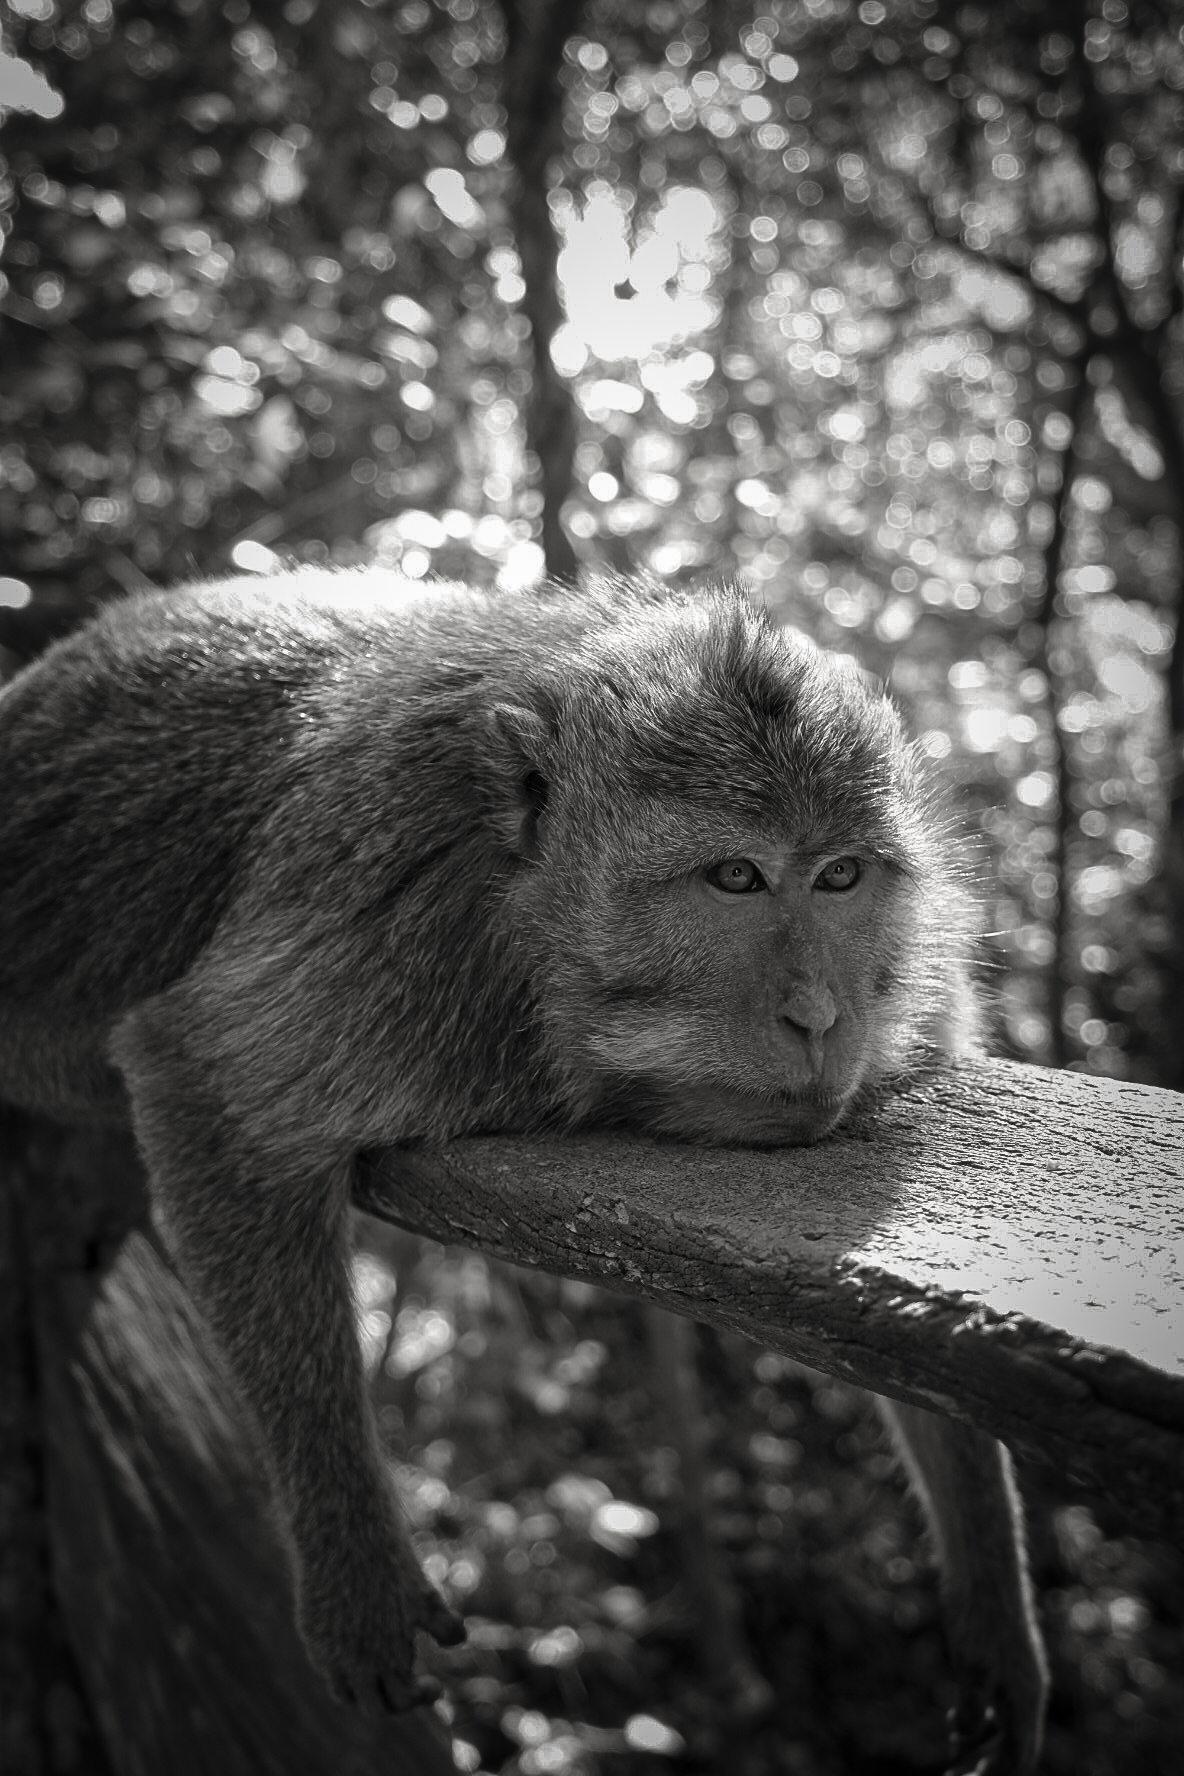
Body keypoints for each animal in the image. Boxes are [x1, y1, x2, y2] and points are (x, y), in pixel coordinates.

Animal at [0, 567, 1046, 1772]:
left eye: (840, 877)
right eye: (735, 877)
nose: (819, 1017)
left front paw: (991, 1601)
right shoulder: (399, 945)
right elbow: (202, 1082)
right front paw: (352, 1555)